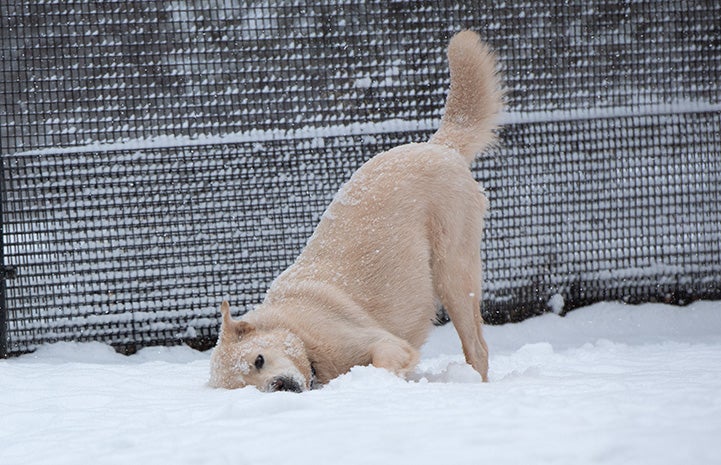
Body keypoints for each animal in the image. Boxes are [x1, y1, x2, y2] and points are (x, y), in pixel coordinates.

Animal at [208, 29, 500, 392]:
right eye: (249, 389)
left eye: (259, 360)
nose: (279, 387)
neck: (297, 331)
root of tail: (438, 146)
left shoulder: (385, 343)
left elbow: (380, 360)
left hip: (454, 276)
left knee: (478, 348)